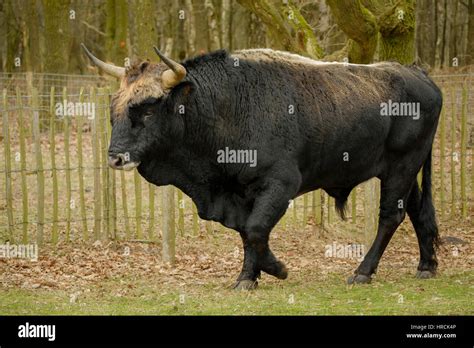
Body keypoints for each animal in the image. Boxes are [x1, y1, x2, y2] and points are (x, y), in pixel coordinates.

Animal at [87, 48, 442, 288]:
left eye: (147, 110)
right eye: (114, 109)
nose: (115, 158)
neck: (228, 107)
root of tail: (421, 75)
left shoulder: (280, 184)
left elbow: (257, 229)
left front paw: (276, 268)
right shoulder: (238, 192)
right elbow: (246, 232)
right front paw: (248, 276)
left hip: (401, 167)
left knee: (390, 216)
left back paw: (363, 271)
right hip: (402, 172)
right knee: (417, 210)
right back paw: (427, 264)